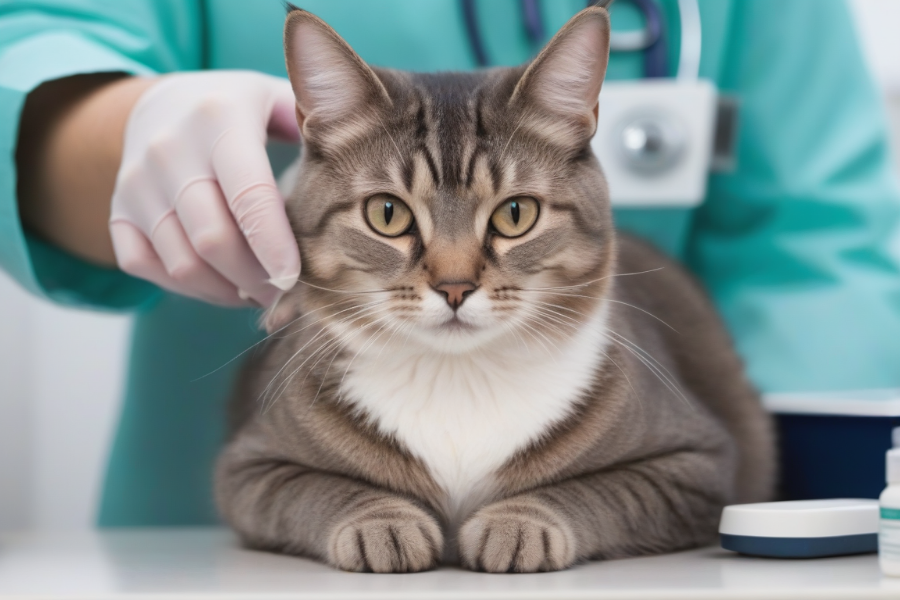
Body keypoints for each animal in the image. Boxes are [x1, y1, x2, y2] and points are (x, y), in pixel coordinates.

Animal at [214, 4, 776, 576]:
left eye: (516, 214)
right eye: (387, 214)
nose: (454, 286)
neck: (458, 377)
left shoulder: (697, 463)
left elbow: (600, 490)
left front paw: (517, 523)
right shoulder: (249, 468)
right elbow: (316, 489)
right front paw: (382, 522)